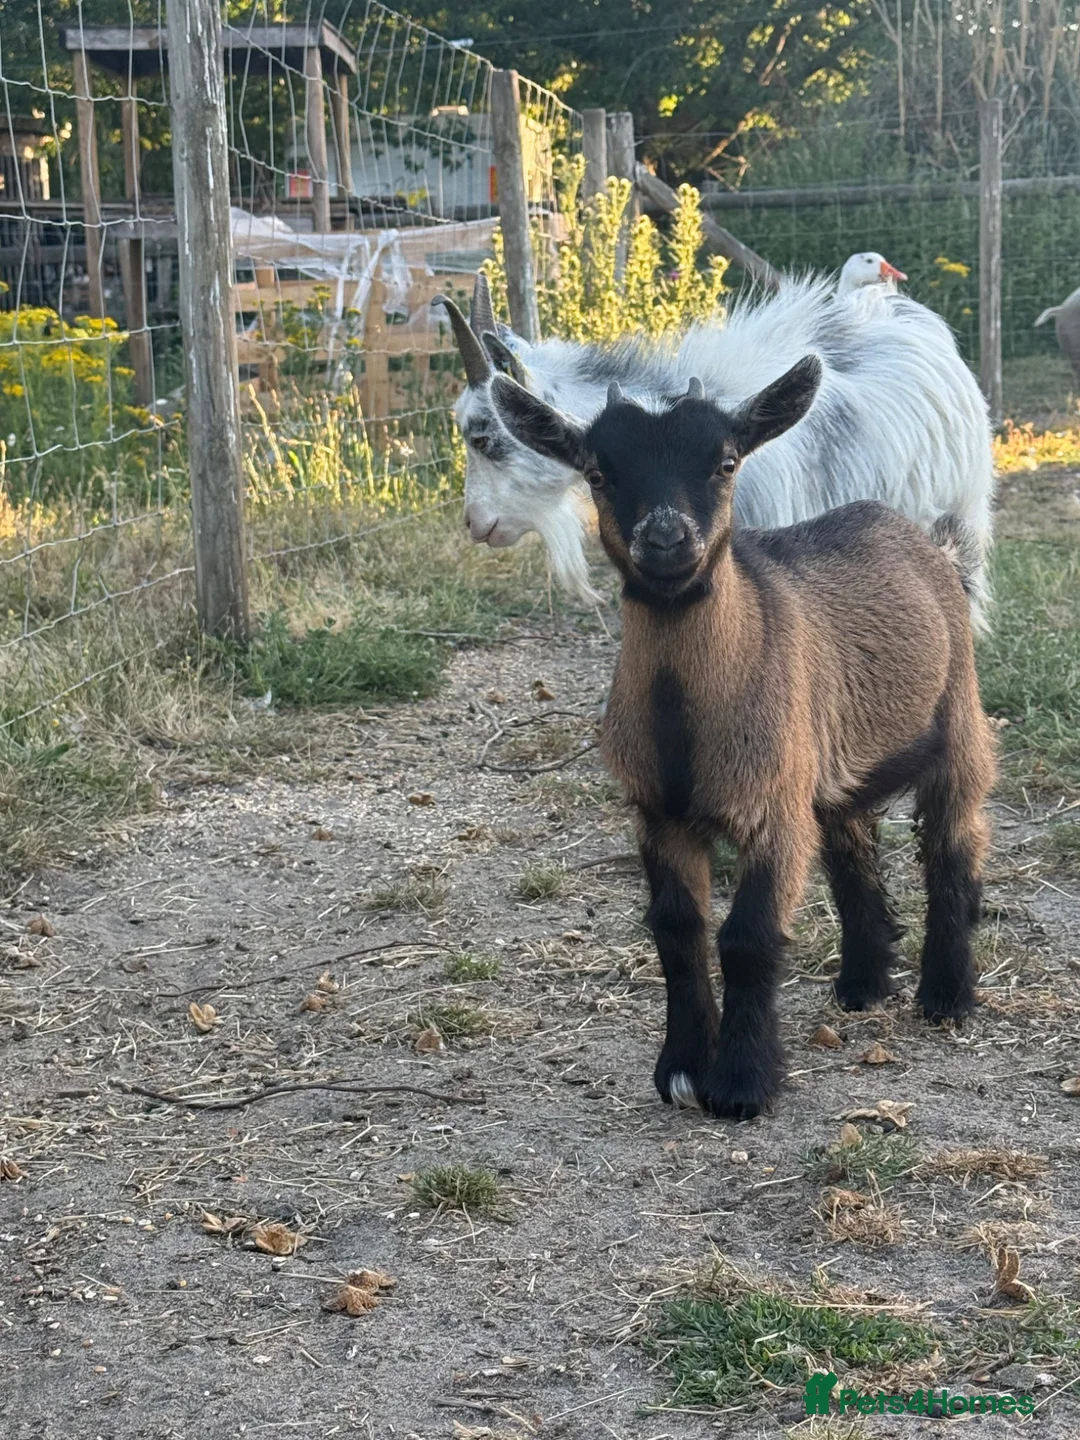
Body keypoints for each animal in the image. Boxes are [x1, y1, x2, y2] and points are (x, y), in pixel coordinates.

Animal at [488, 361, 996, 1119]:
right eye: (599, 472)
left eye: (725, 463)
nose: (666, 538)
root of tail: (931, 543)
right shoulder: (659, 815)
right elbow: (676, 931)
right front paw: (679, 1069)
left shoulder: (771, 811)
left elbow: (748, 939)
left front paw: (740, 1083)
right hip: (829, 755)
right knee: (850, 843)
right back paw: (863, 981)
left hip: (957, 716)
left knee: (951, 845)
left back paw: (946, 995)